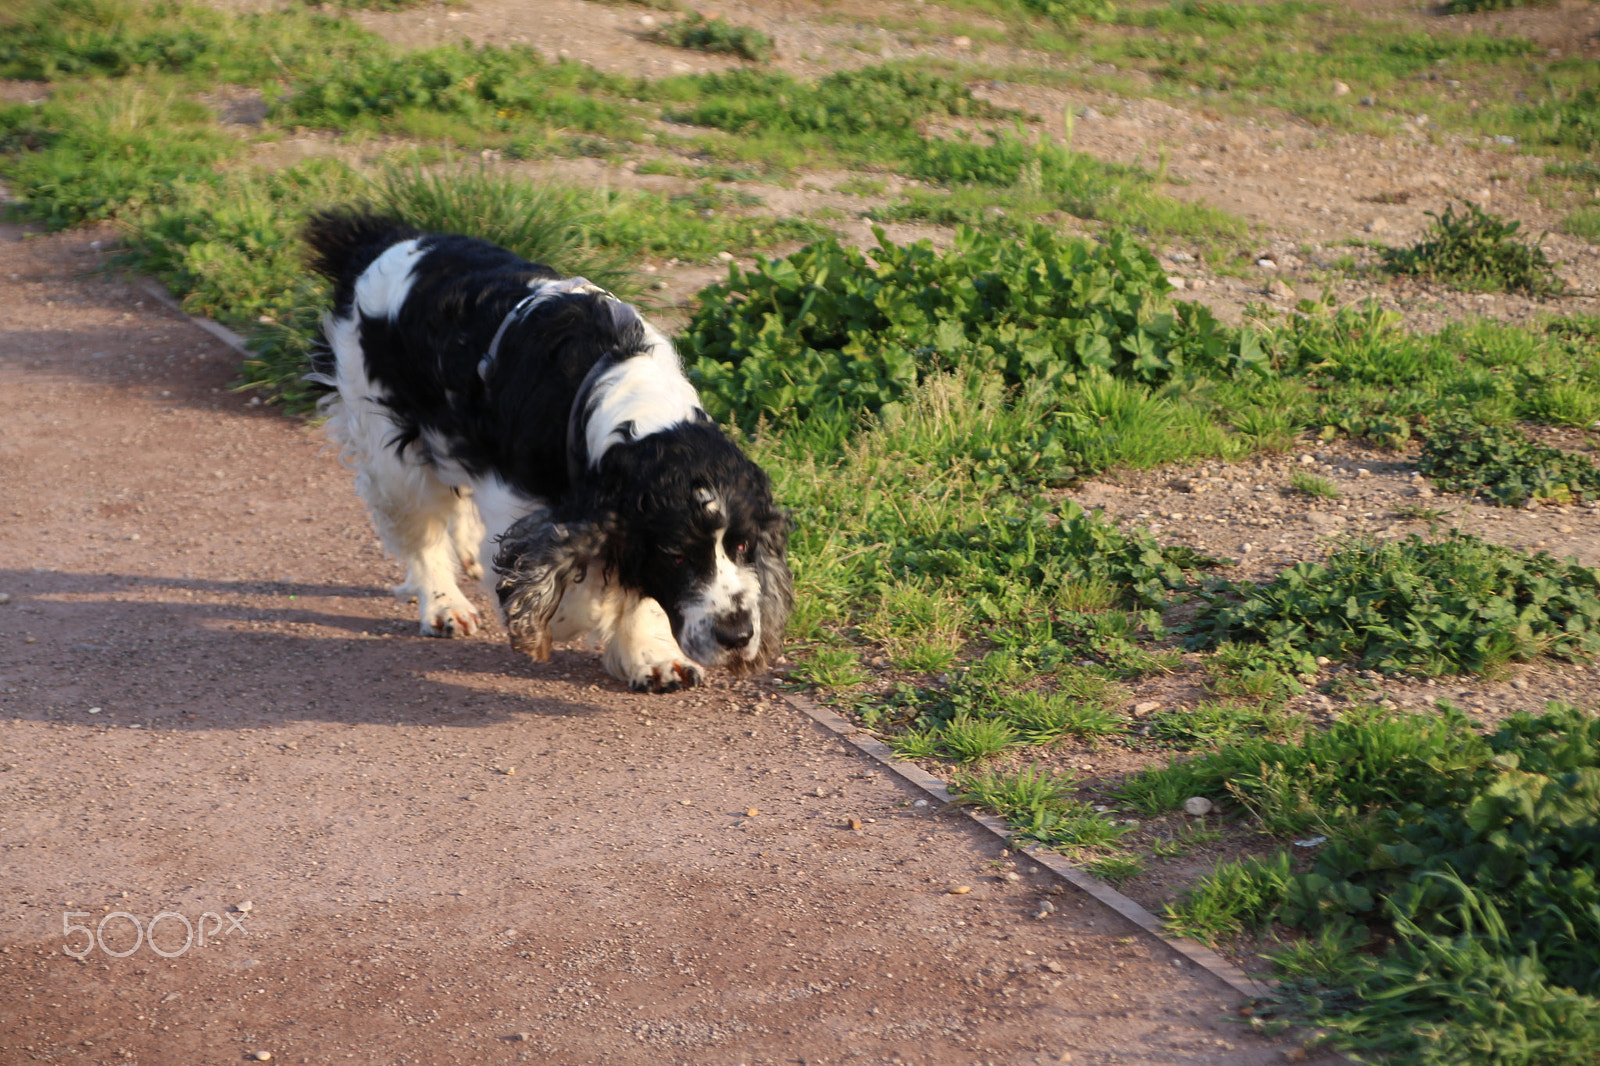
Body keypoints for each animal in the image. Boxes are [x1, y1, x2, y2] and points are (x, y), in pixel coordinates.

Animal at [302, 209, 790, 688]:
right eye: (677, 554)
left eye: (744, 546)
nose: (736, 636)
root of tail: (383, 240)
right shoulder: (520, 503)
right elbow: (575, 583)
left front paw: (654, 658)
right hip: (388, 441)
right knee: (420, 529)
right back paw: (445, 606)